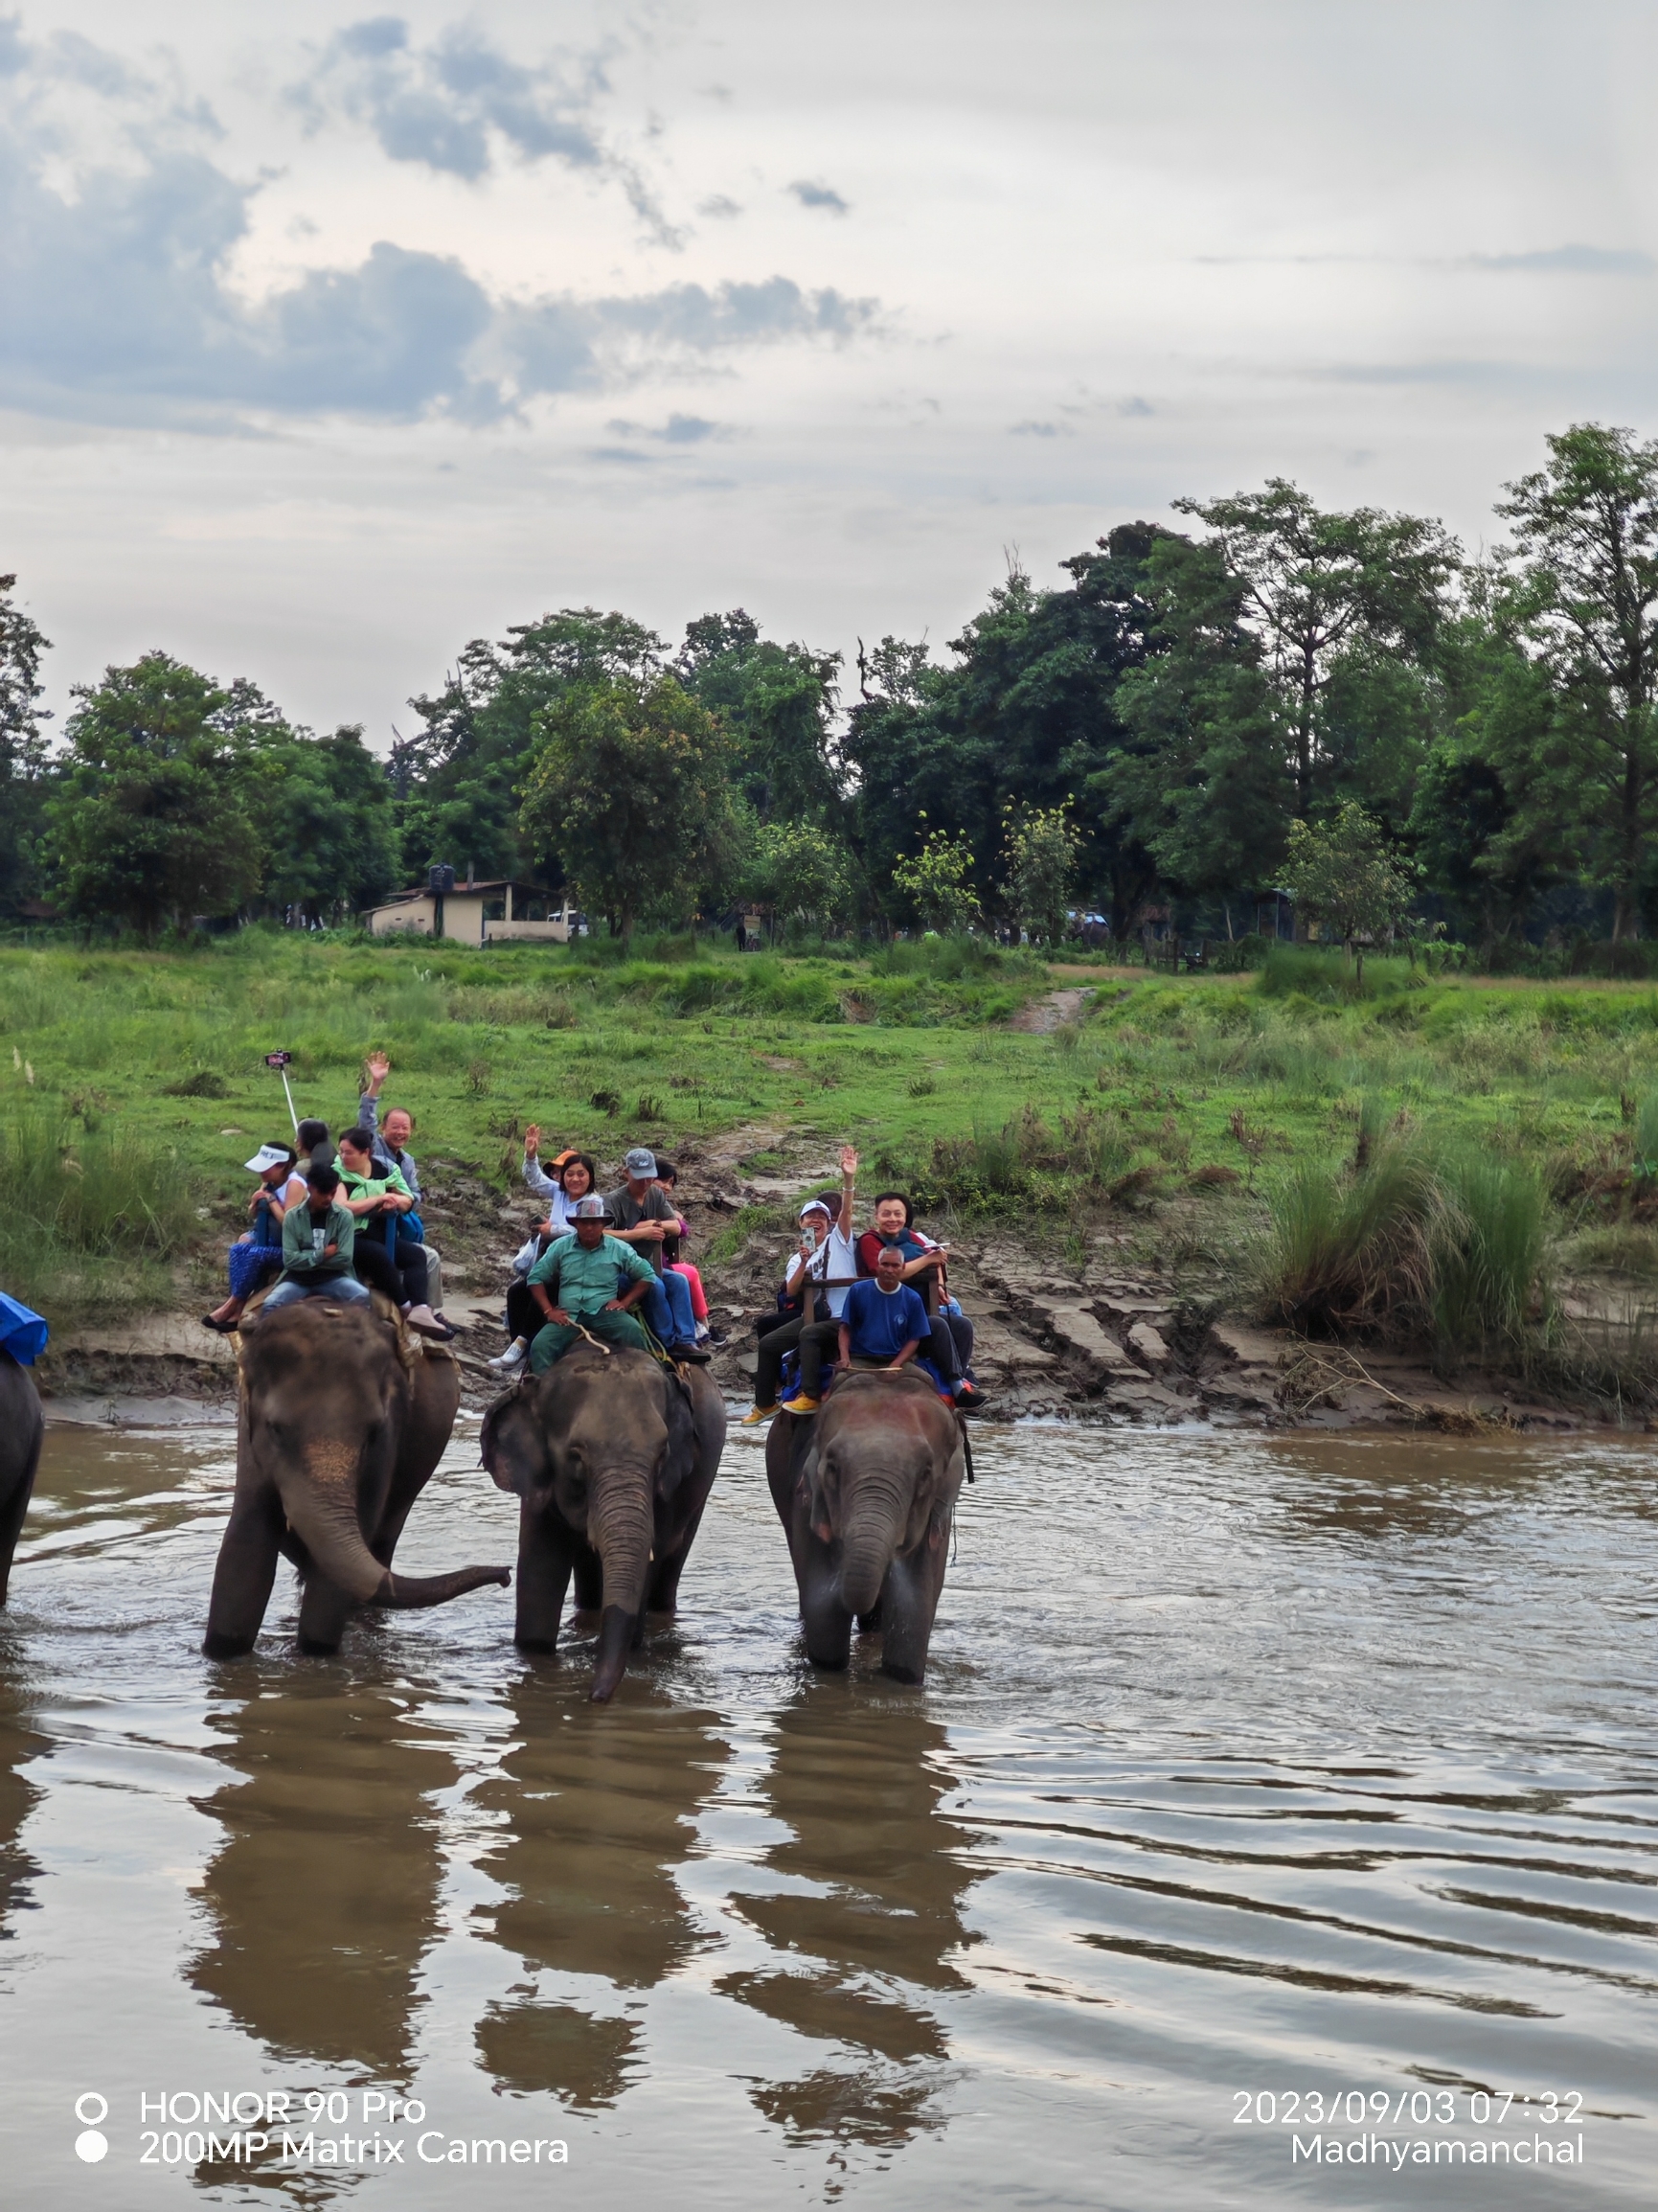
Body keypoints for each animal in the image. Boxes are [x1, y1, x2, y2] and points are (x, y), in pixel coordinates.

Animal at [203, 1291, 511, 1663]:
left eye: (373, 1432)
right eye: (275, 1429)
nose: (506, 1575)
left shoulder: (392, 1433)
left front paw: (315, 1658)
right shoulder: (248, 1435)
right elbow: (247, 1539)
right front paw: (222, 1656)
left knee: (382, 1539)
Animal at [486, 1335, 734, 1699]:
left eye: (662, 1455)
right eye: (575, 1456)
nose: (593, 1697)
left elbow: (649, 1557)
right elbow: (541, 1564)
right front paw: (538, 1661)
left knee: (670, 1565)